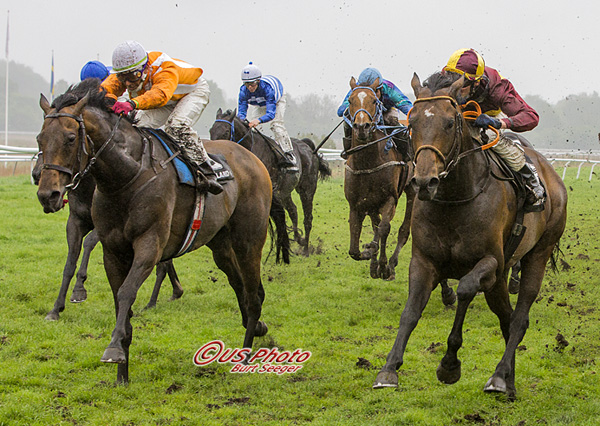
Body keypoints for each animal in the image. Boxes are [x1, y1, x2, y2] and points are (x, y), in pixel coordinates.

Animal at [32, 156, 183, 320]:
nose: (36, 174)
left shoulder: (105, 227)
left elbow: (88, 242)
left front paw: (79, 289)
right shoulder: (75, 222)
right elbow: (70, 263)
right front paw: (56, 309)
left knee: (162, 263)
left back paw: (152, 302)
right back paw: (175, 291)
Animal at [211, 108, 332, 258]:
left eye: (226, 131)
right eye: (211, 130)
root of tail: (308, 147)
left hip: (307, 189)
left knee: (308, 218)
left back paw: (305, 249)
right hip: (285, 191)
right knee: (293, 210)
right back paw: (298, 238)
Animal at [344, 78, 414, 282]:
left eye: (374, 101)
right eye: (350, 100)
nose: (362, 127)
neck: (367, 163)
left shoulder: (390, 199)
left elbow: (383, 229)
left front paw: (381, 262)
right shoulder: (356, 205)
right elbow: (354, 250)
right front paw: (371, 257)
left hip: (412, 191)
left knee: (402, 230)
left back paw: (389, 264)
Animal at [376, 73, 568, 400]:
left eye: (449, 123)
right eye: (412, 122)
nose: (424, 182)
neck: (455, 199)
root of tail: (552, 175)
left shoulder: (491, 262)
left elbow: (465, 288)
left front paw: (449, 364)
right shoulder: (423, 261)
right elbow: (411, 311)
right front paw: (389, 369)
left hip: (538, 254)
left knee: (519, 318)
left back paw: (499, 377)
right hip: (501, 278)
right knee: (506, 318)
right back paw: (510, 383)